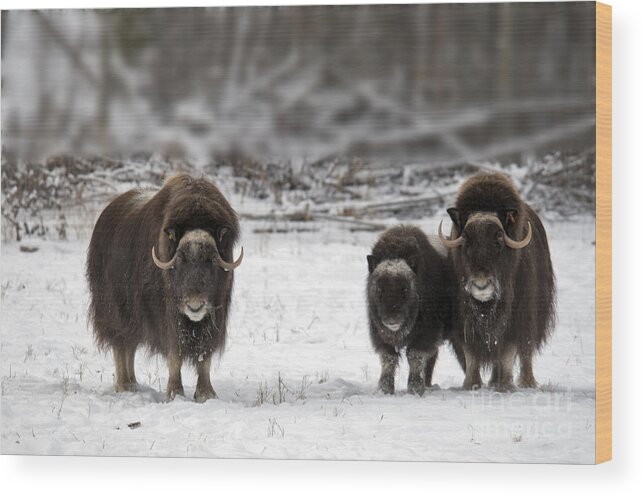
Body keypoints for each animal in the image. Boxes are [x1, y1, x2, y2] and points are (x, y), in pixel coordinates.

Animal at [87, 174, 243, 404]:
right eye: (180, 259)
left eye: (211, 260)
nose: (195, 306)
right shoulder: (167, 317)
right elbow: (174, 354)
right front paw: (175, 394)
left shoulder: (214, 317)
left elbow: (204, 357)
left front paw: (206, 395)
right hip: (114, 311)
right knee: (121, 345)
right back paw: (124, 386)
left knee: (130, 346)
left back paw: (134, 384)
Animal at [368, 225, 452, 396]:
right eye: (379, 289)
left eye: (405, 289)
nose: (392, 320)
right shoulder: (379, 332)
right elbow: (388, 357)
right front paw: (385, 389)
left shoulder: (427, 332)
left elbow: (415, 355)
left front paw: (415, 389)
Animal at [440, 172, 556, 394]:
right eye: (467, 240)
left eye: (499, 239)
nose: (481, 285)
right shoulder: (463, 317)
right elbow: (471, 351)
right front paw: (471, 385)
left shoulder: (516, 316)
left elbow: (509, 349)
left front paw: (506, 386)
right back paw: (494, 380)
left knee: (525, 350)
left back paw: (527, 382)